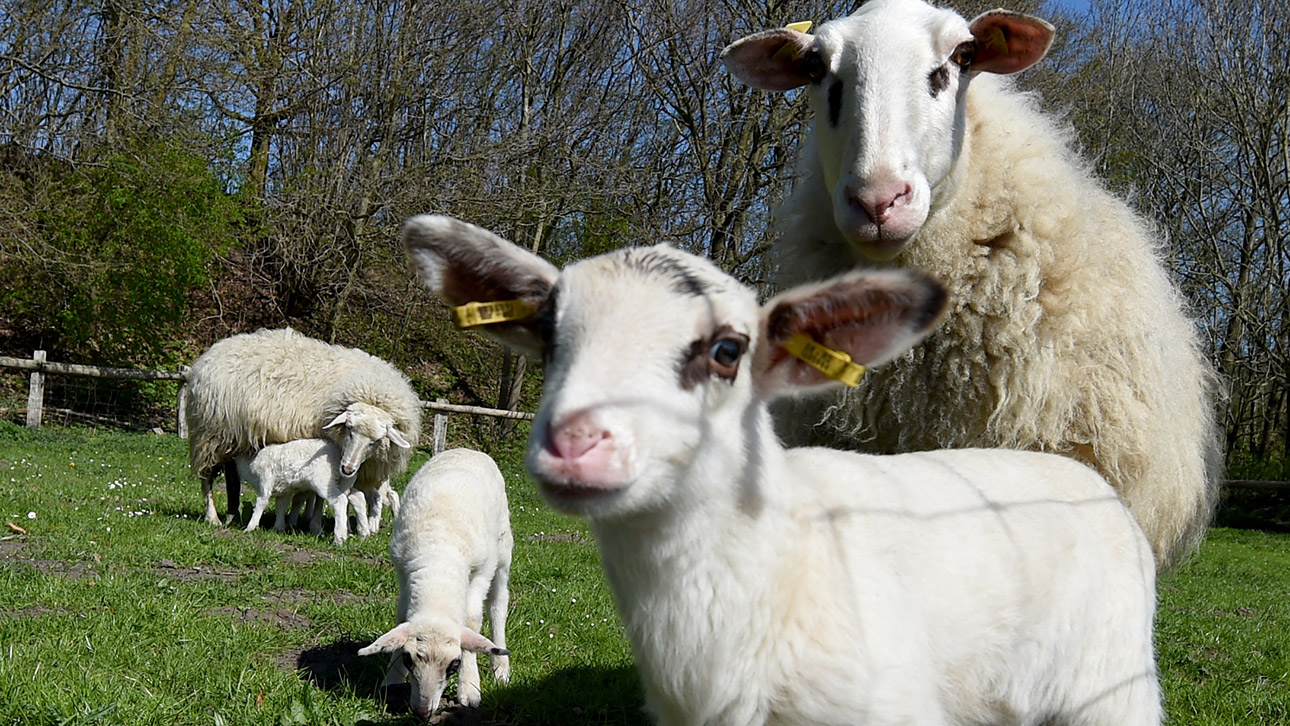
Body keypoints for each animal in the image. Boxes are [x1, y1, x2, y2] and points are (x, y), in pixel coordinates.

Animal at [184, 327, 422, 529]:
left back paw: (234, 514)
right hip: (209, 434)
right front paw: (313, 523)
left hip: (232, 436)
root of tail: (213, 351)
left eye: (377, 440)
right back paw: (213, 516)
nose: (348, 468)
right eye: (349, 428)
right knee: (207, 477)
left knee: (232, 475)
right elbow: (317, 495)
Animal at [358, 447, 512, 719]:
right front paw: (392, 679)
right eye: (408, 659)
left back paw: (501, 668)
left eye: (454, 665)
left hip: (503, 550)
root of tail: (467, 449)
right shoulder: (402, 570)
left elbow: (472, 619)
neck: (439, 556)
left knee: (498, 604)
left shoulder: (481, 572)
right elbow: (401, 615)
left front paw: (469, 687)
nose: (422, 712)